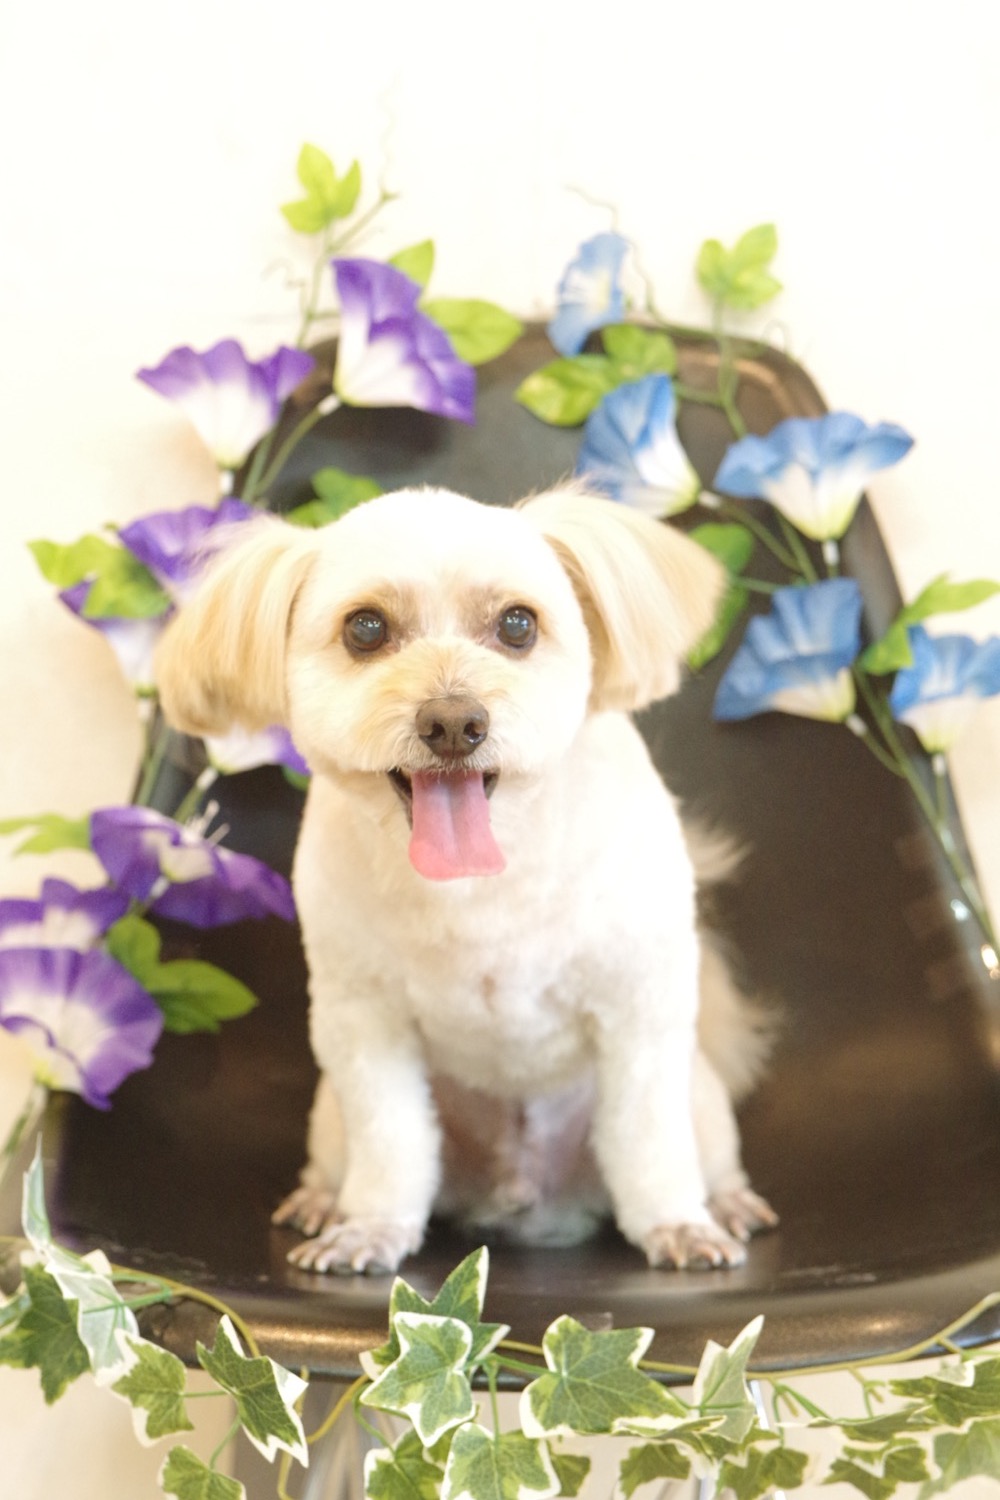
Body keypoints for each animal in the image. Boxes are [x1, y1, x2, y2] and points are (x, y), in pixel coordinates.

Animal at [155, 483, 777, 1274]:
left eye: (518, 623)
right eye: (365, 628)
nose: (453, 722)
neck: (482, 883)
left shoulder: (640, 1010)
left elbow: (648, 1140)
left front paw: (676, 1224)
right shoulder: (363, 1023)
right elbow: (390, 1139)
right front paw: (370, 1228)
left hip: (702, 1094)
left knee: (704, 1152)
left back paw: (725, 1203)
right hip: (328, 1113)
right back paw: (323, 1200)